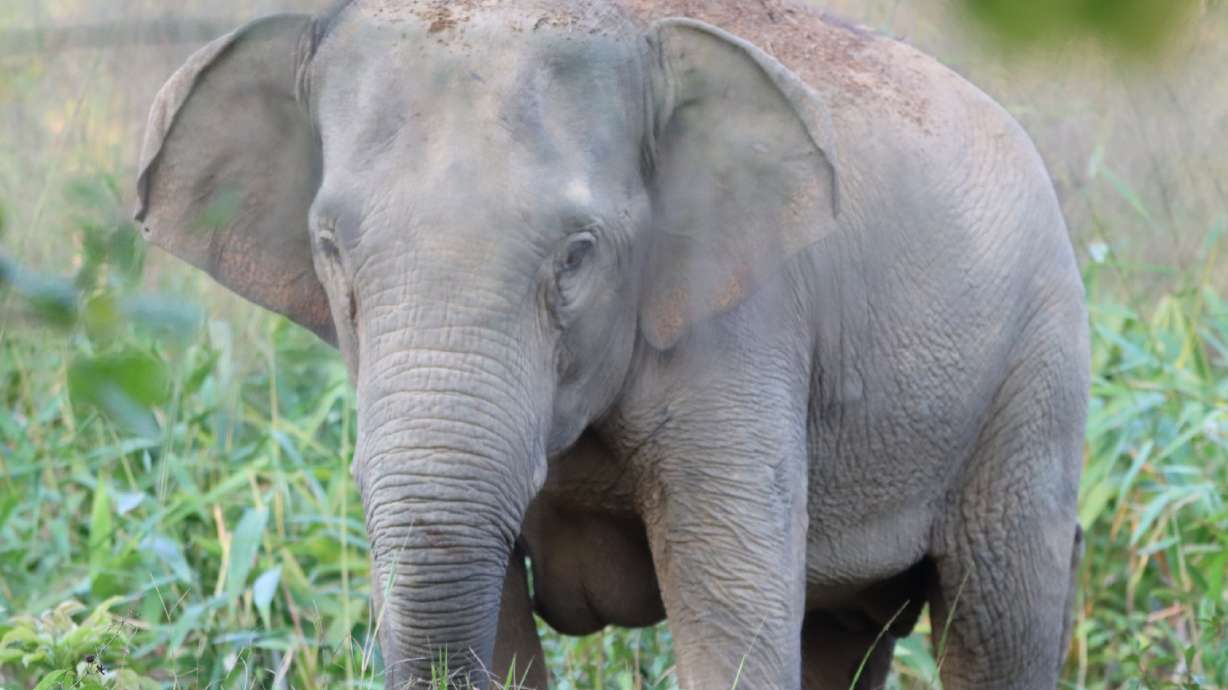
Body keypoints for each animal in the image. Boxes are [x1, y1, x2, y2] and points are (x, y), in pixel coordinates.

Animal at [134, 0, 1090, 688]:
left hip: (1034, 378)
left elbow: (734, 612)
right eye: (329, 245)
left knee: (999, 619)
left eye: (577, 252)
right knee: (842, 634)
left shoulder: (744, 326)